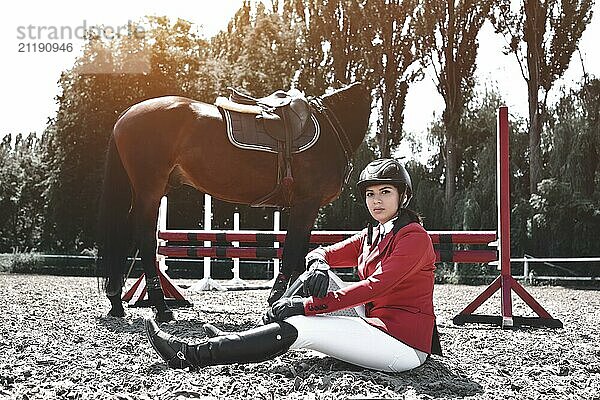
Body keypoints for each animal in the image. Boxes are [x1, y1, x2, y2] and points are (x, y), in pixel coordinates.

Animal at [98, 82, 370, 322]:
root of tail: (126, 115)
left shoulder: (307, 208)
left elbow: (301, 255)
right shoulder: (306, 204)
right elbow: (292, 252)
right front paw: (276, 300)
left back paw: (116, 302)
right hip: (150, 191)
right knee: (145, 239)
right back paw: (161, 308)